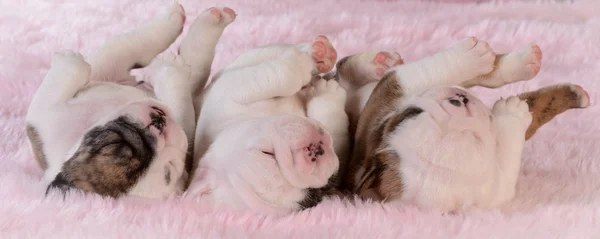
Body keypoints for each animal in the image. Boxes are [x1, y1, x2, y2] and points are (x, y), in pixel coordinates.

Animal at [188, 32, 346, 214]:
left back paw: (319, 54)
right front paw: (327, 93)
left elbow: (281, 76)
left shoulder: (236, 90)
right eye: (311, 195)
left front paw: (304, 64)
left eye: (266, 152)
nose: (313, 150)